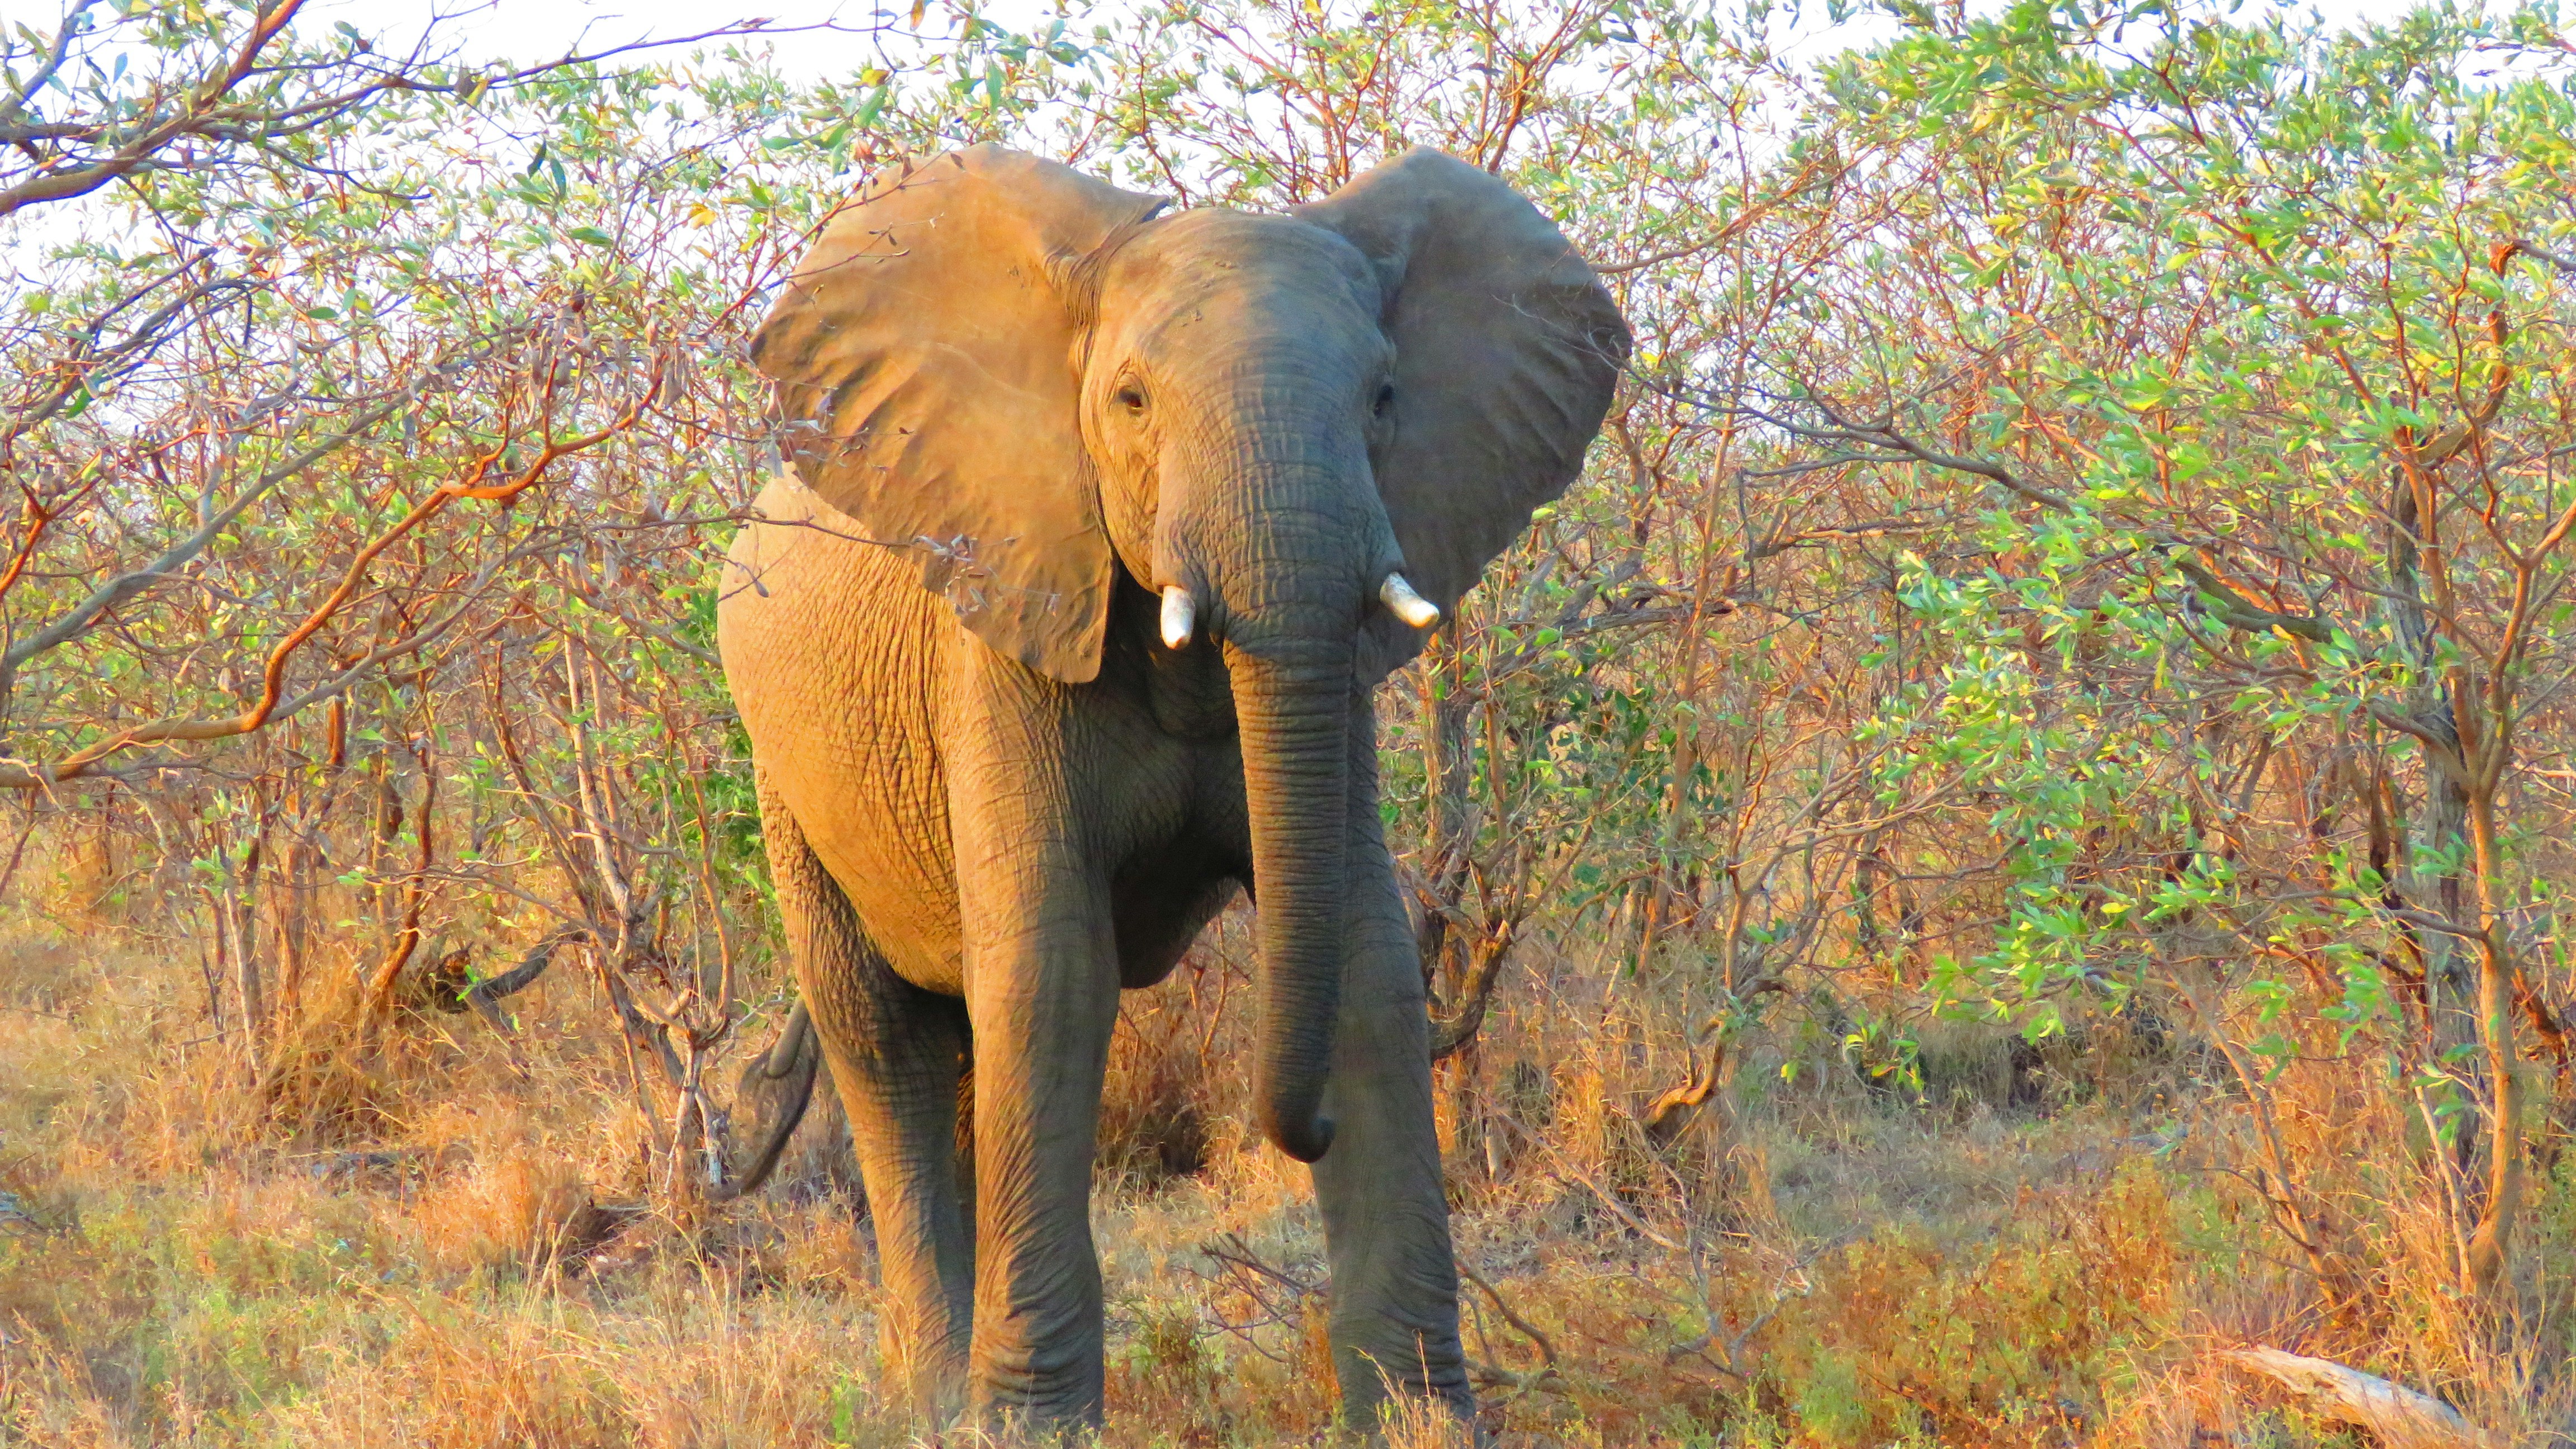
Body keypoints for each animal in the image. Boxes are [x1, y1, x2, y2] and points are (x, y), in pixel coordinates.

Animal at [716, 142, 1628, 1435]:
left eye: (1384, 401)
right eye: (1131, 402)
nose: (1303, 1128)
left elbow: (1366, 956)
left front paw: (1423, 1418)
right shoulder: (1005, 623)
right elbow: (1053, 971)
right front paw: (1030, 1428)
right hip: (784, 775)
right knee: (883, 1037)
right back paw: (938, 1399)